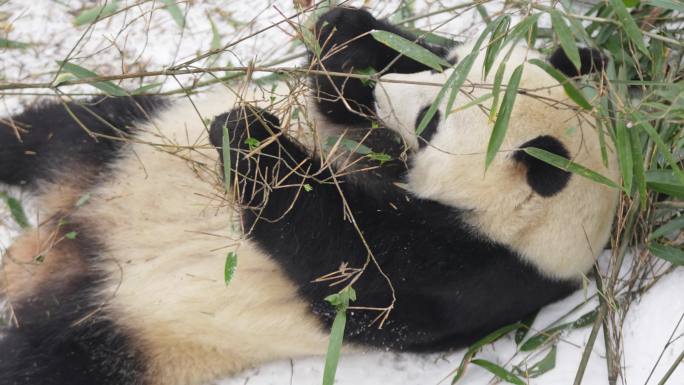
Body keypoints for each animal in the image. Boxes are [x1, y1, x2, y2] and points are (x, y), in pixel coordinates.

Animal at [0, 6, 620, 384]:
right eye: (445, 67)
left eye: (431, 120)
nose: (383, 91)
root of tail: (63, 237)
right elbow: (336, 99)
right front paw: (350, 36)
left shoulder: (480, 272)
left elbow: (352, 266)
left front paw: (250, 134)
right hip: (126, 141)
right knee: (57, 130)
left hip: (127, 334)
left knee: (45, 361)